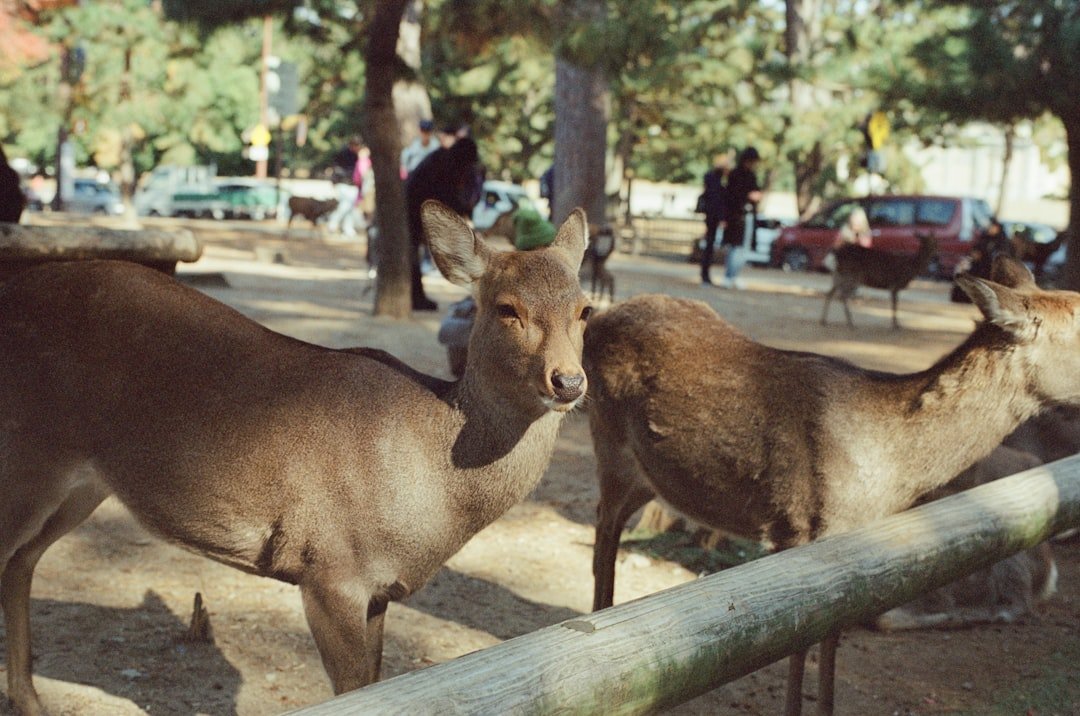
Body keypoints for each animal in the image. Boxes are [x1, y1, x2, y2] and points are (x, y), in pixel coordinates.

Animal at [0, 200, 591, 715]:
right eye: (506, 308)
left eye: (585, 309)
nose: (568, 381)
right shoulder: (330, 568)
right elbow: (353, 692)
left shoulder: (380, 590)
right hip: (26, 453)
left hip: (82, 483)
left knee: (20, 562)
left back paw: (31, 701)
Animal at [582, 255, 1080, 716]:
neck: (887, 476)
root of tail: (598, 317)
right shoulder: (797, 528)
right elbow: (800, 639)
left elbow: (832, 636)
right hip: (609, 444)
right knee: (604, 530)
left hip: (648, 476)